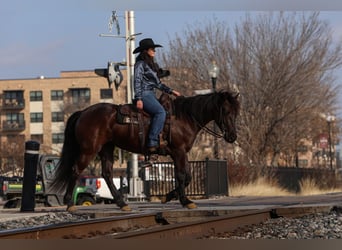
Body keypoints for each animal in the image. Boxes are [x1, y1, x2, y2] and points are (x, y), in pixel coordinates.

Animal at [52, 90, 239, 211]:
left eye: (236, 112)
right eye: (225, 110)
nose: (232, 136)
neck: (184, 116)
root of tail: (83, 112)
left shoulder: (181, 153)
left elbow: (187, 177)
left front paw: (168, 196)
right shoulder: (178, 151)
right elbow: (181, 176)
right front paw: (185, 201)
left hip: (106, 149)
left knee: (107, 174)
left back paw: (122, 203)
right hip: (89, 149)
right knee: (76, 170)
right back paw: (69, 203)